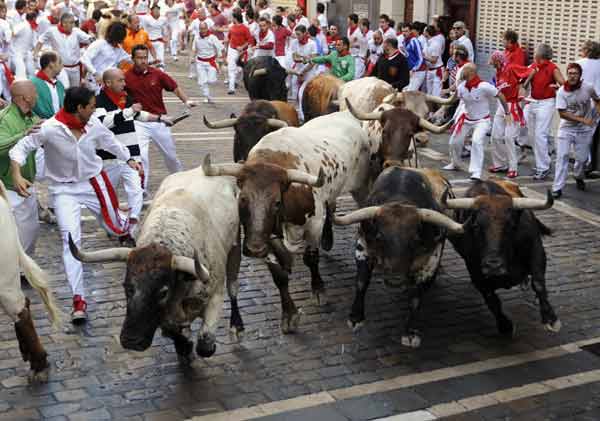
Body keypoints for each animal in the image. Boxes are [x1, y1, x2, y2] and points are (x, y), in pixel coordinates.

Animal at [68, 167, 241, 360]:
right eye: (127, 287)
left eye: (163, 292)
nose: (131, 341)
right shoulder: (167, 318)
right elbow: (175, 332)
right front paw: (184, 345)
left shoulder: (215, 296)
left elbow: (205, 344)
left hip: (235, 248)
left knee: (233, 286)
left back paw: (237, 325)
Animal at [204, 110, 378, 332]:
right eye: (242, 199)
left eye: (277, 202)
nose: (253, 250)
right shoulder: (264, 236)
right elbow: (278, 274)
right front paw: (289, 314)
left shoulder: (313, 224)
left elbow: (311, 258)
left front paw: (318, 290)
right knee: (331, 205)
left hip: (361, 187)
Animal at [332, 166, 464, 346]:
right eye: (379, 236)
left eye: (415, 238)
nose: (395, 279)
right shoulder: (363, 247)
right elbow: (361, 282)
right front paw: (355, 318)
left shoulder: (432, 259)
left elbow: (416, 297)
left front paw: (409, 332)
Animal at [440, 179, 564, 336]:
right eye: (476, 226)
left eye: (510, 225)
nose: (494, 266)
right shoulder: (475, 271)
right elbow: (491, 299)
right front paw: (504, 325)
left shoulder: (537, 250)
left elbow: (538, 283)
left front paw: (551, 319)